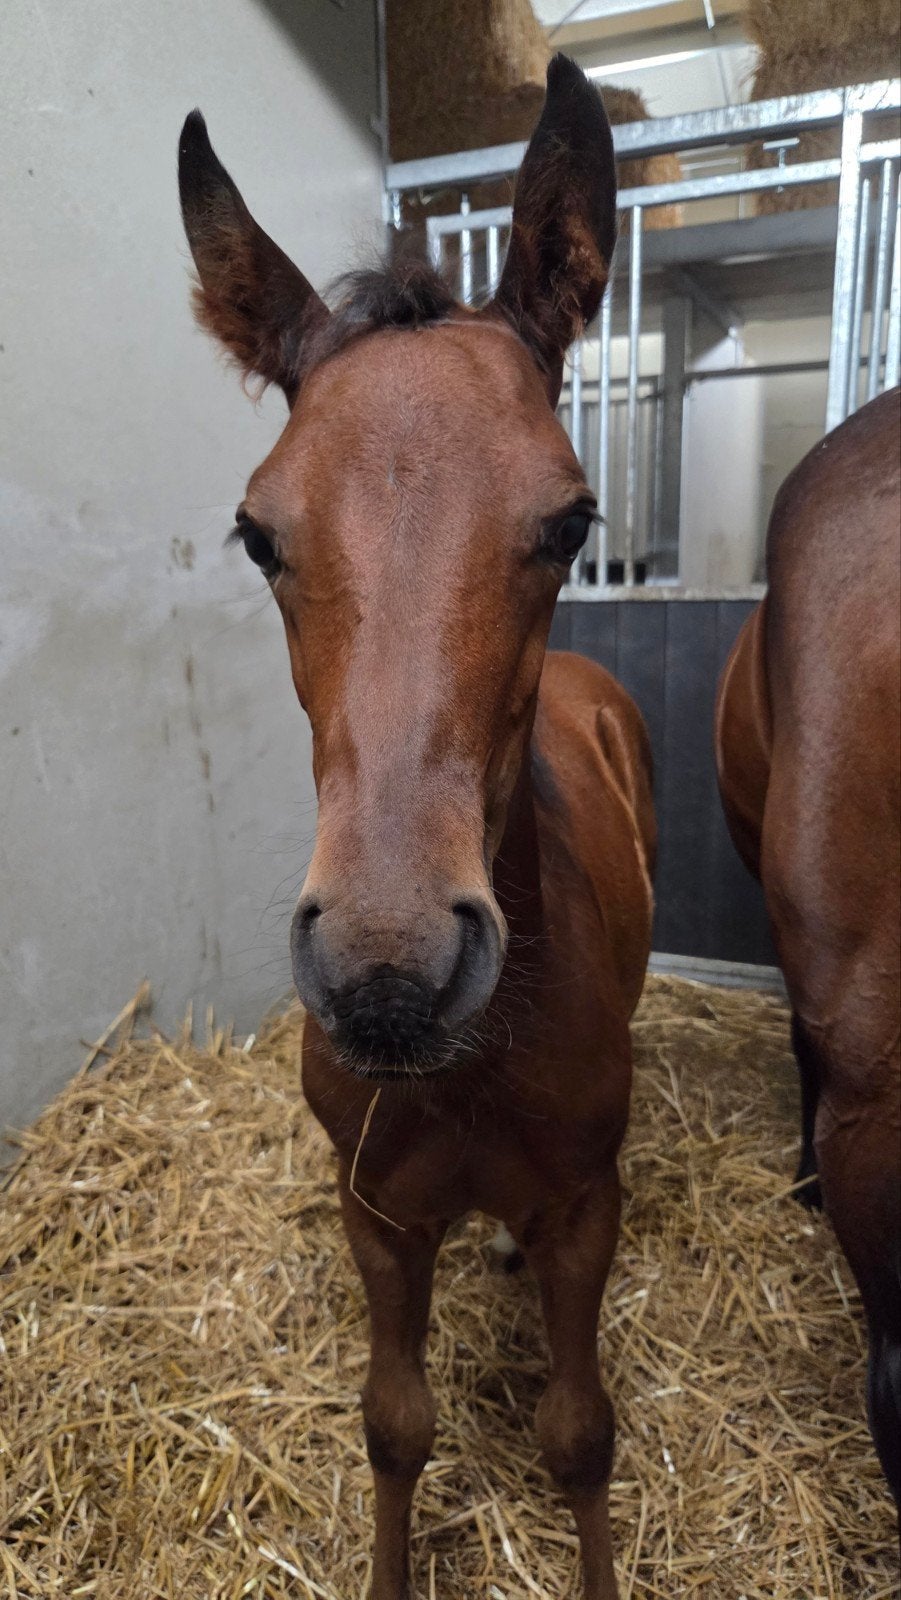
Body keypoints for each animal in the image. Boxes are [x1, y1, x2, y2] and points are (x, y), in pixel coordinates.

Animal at [178, 56, 655, 1599]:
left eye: (570, 520)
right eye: (259, 534)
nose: (388, 977)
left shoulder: (581, 1210)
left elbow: (579, 1435)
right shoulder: (377, 1215)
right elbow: (395, 1423)